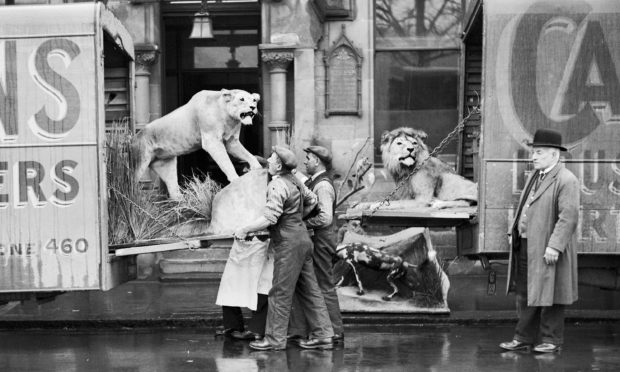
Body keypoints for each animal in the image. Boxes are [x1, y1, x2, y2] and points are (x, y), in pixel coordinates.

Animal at [132, 89, 262, 201]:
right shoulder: (211, 140)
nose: (253, 107)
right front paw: (236, 180)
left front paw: (257, 168)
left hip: (165, 165)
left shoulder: (232, 142)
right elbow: (226, 163)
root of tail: (135, 137)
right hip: (139, 161)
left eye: (254, 100)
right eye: (242, 99)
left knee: (173, 189)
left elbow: (249, 155)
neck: (229, 118)